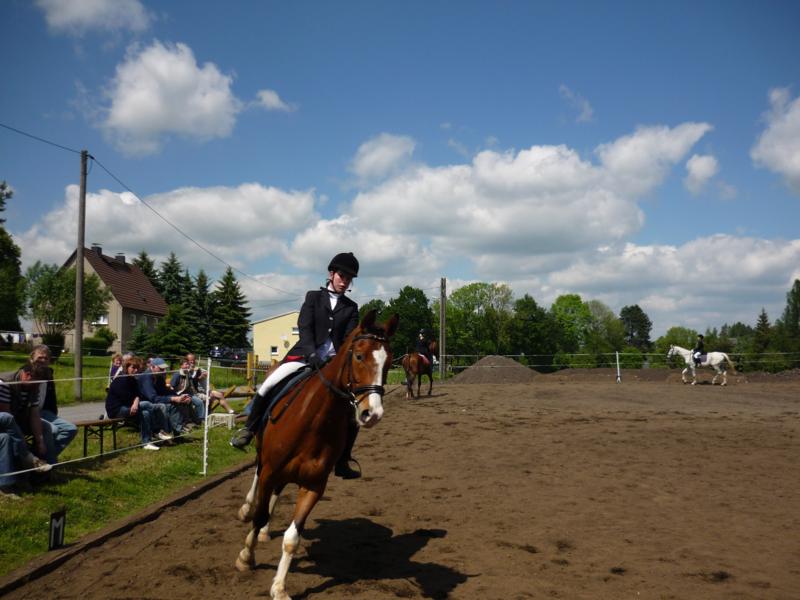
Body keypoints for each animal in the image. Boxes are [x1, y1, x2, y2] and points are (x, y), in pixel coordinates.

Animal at [235, 309, 398, 600]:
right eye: (359, 356)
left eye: (388, 361)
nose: (373, 414)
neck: (312, 421)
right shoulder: (270, 471)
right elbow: (259, 513)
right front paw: (246, 557)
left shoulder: (313, 485)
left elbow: (292, 538)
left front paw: (279, 588)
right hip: (263, 456)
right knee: (256, 478)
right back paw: (246, 509)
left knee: (277, 492)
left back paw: (264, 532)